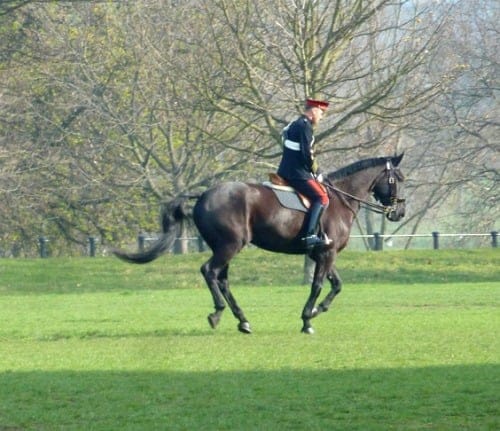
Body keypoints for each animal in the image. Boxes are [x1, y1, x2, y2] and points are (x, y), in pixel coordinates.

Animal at [114, 154, 406, 336]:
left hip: (225, 248)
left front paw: (317, 310)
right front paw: (307, 319)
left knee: (222, 279)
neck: (338, 200)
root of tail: (204, 195)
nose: (399, 213)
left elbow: (336, 285)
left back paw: (243, 321)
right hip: (229, 246)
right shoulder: (327, 253)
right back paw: (218, 314)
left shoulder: (324, 253)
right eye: (398, 179)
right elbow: (319, 285)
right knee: (210, 272)